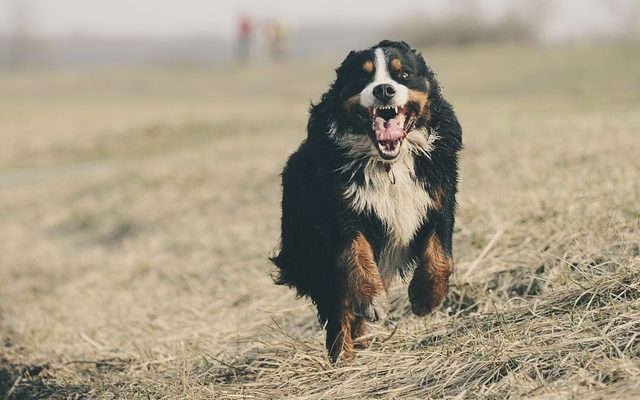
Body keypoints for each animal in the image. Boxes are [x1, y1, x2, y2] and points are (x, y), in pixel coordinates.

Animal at [268, 40, 460, 362]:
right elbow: (356, 255)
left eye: (403, 74)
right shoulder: (340, 212)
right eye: (362, 77)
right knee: (339, 309)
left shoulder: (439, 199)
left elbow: (441, 257)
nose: (383, 89)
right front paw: (371, 300)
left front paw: (425, 297)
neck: (389, 164)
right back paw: (343, 357)